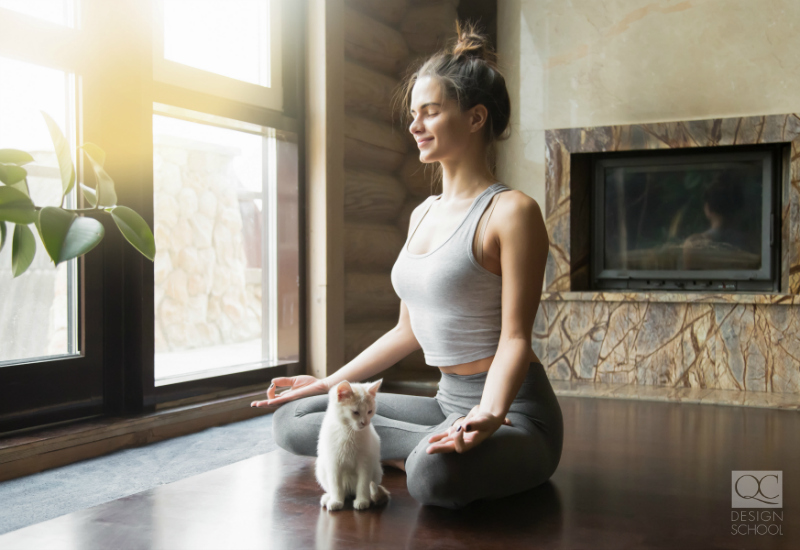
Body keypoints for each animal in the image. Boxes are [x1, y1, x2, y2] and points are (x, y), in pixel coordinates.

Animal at [318, 380, 394, 512]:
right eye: (355, 412)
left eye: (369, 411)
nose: (365, 423)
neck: (349, 431)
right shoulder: (333, 462)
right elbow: (335, 485)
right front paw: (336, 501)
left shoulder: (366, 461)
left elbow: (363, 483)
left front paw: (362, 501)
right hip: (320, 467)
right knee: (341, 490)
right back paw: (329, 497)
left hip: (376, 469)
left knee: (368, 487)